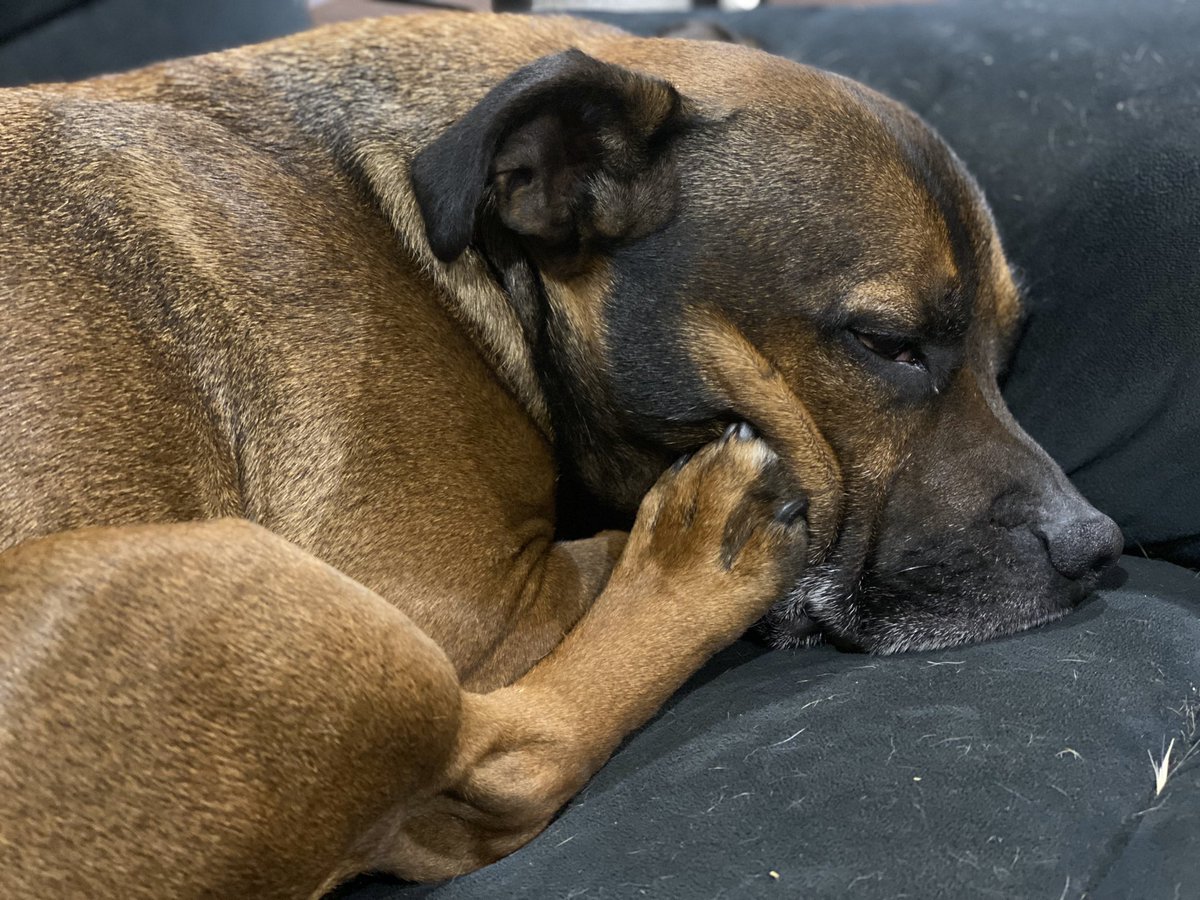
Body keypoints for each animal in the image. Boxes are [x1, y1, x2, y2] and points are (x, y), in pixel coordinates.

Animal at [0, 10, 1123, 897]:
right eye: (885, 343)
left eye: (1008, 351)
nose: (1097, 547)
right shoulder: (456, 602)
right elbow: (588, 568)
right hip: (262, 591)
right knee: (513, 767)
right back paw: (700, 559)